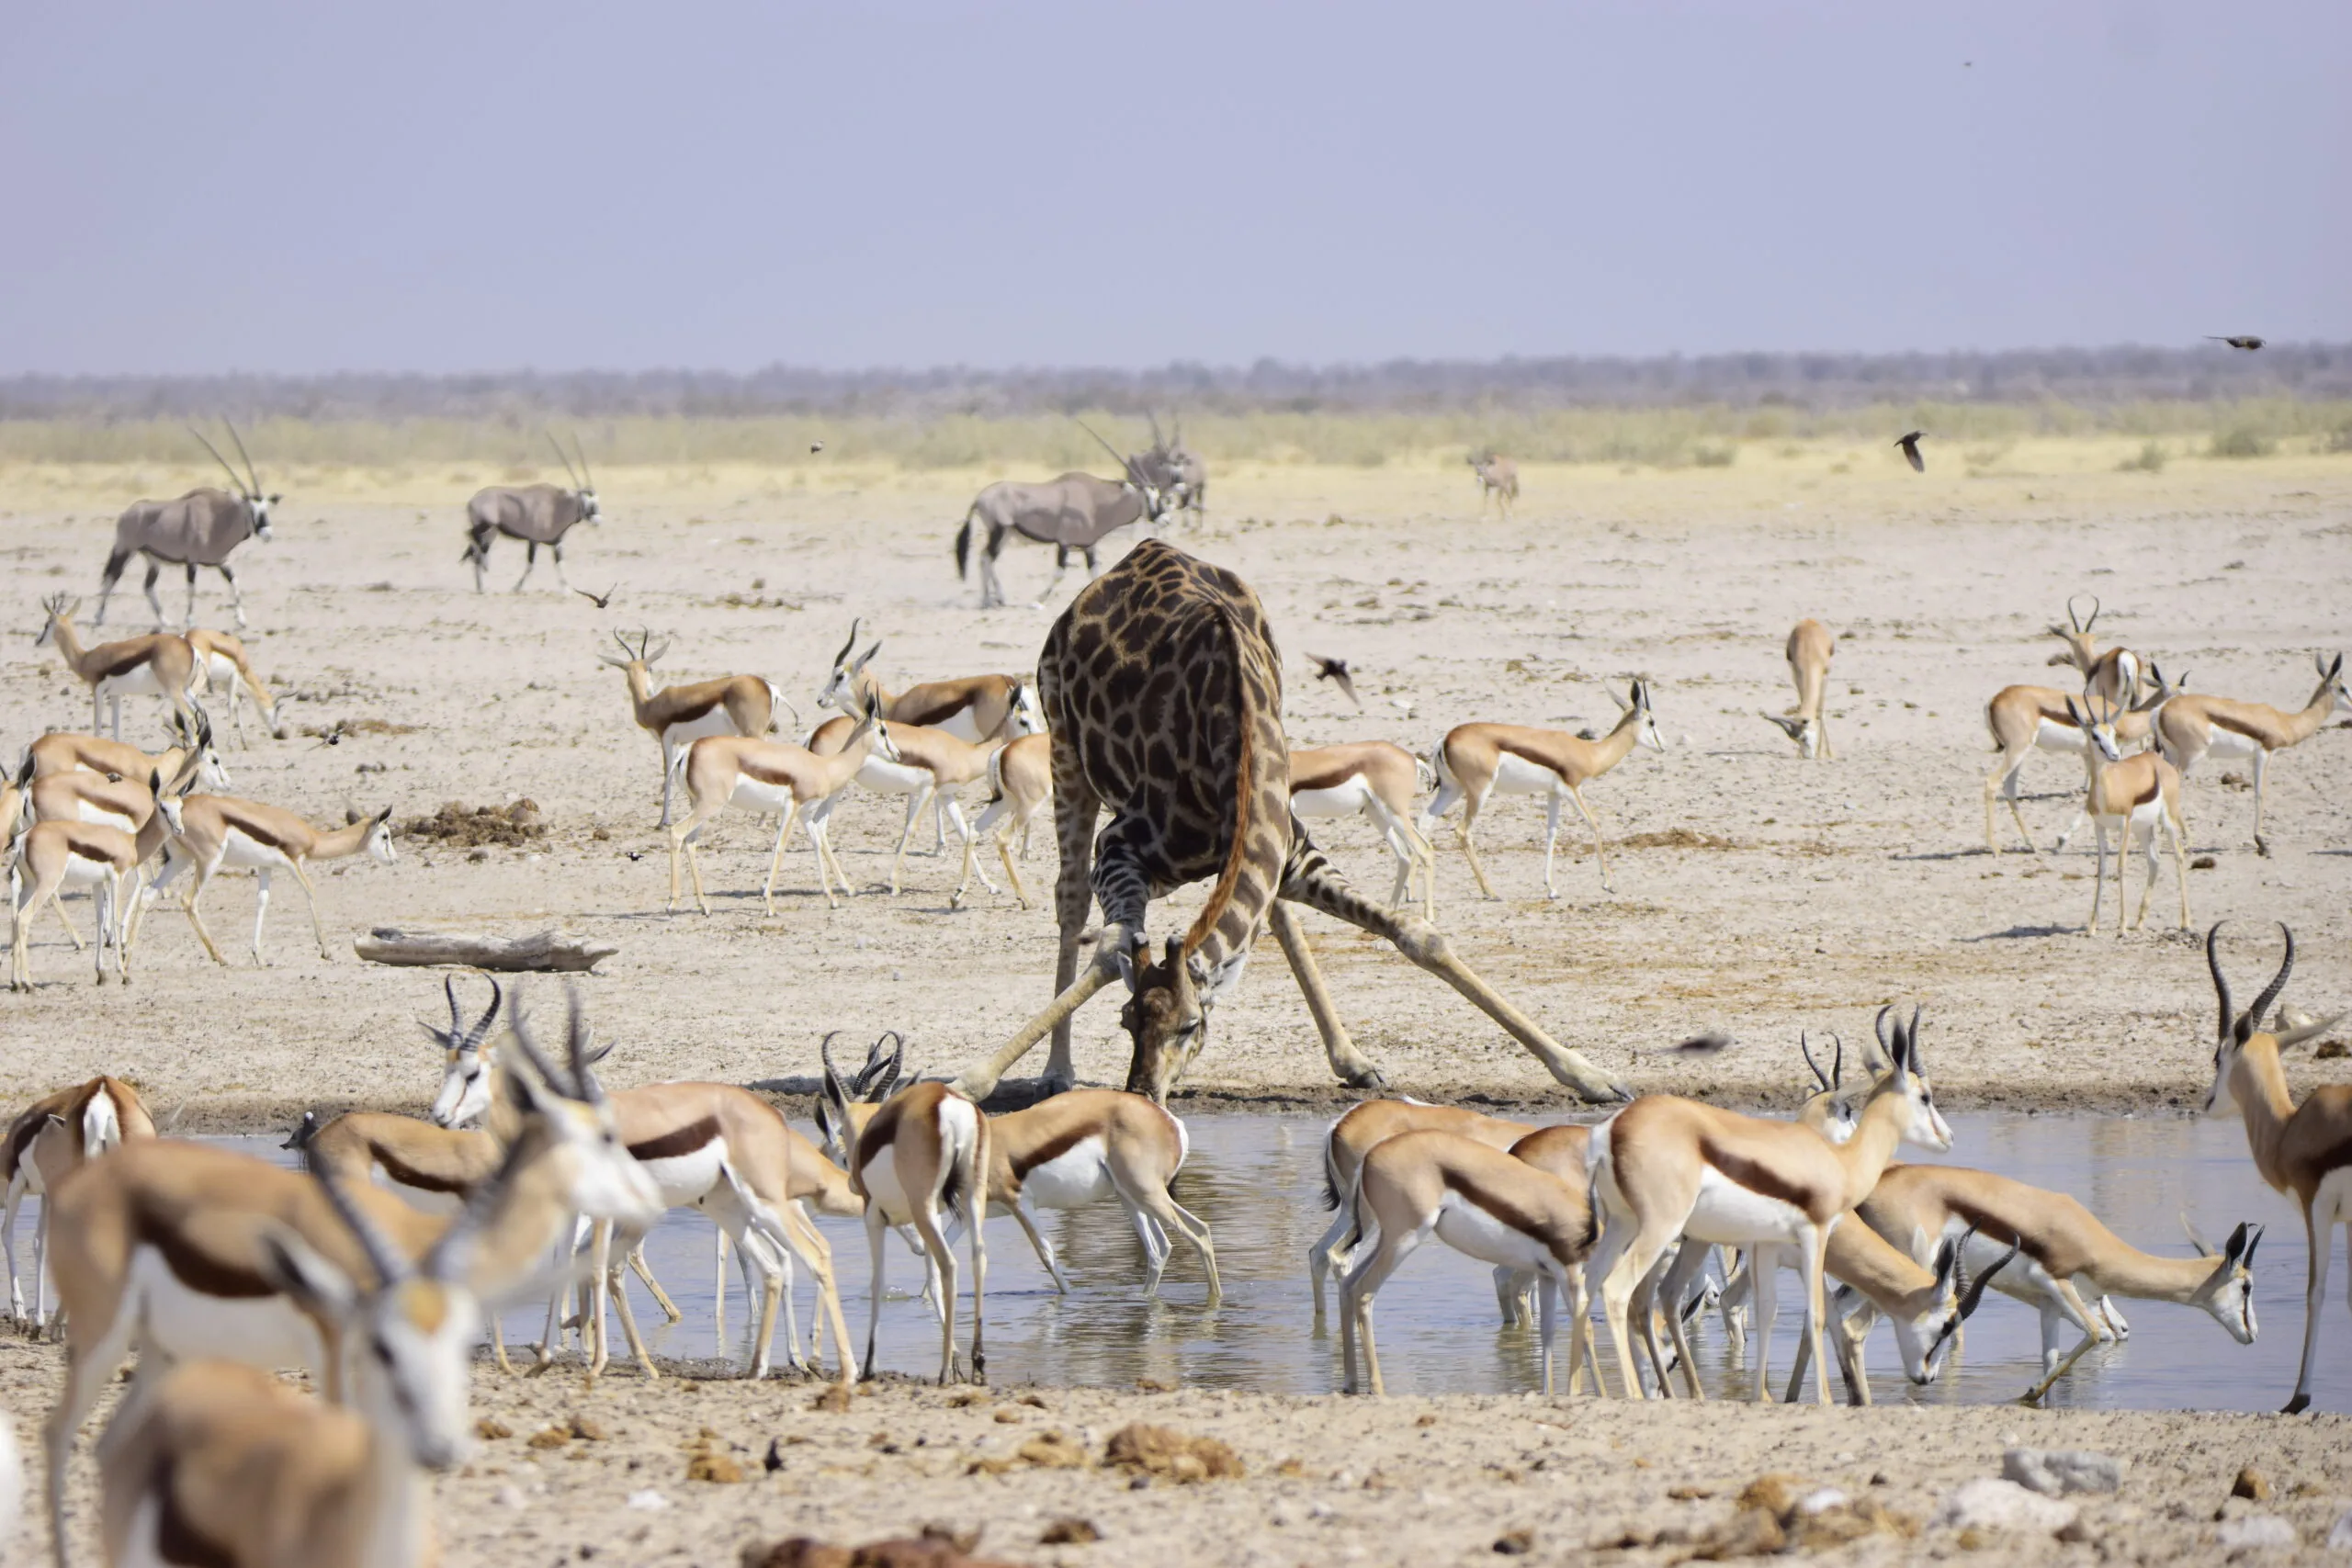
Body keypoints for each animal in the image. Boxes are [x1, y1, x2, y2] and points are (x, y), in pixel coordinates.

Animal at [951, 538, 1631, 1106]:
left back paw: (1351, 1059)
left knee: (1271, 914)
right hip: (1066, 747)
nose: (1144, 1095)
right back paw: (1056, 1070)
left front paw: (1591, 1075)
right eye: (1126, 1021)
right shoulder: (1119, 846)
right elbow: (1114, 946)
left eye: (1190, 1024)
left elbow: (1416, 934)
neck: (1228, 746)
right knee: (1068, 899)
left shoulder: (1290, 846)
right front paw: (972, 1078)